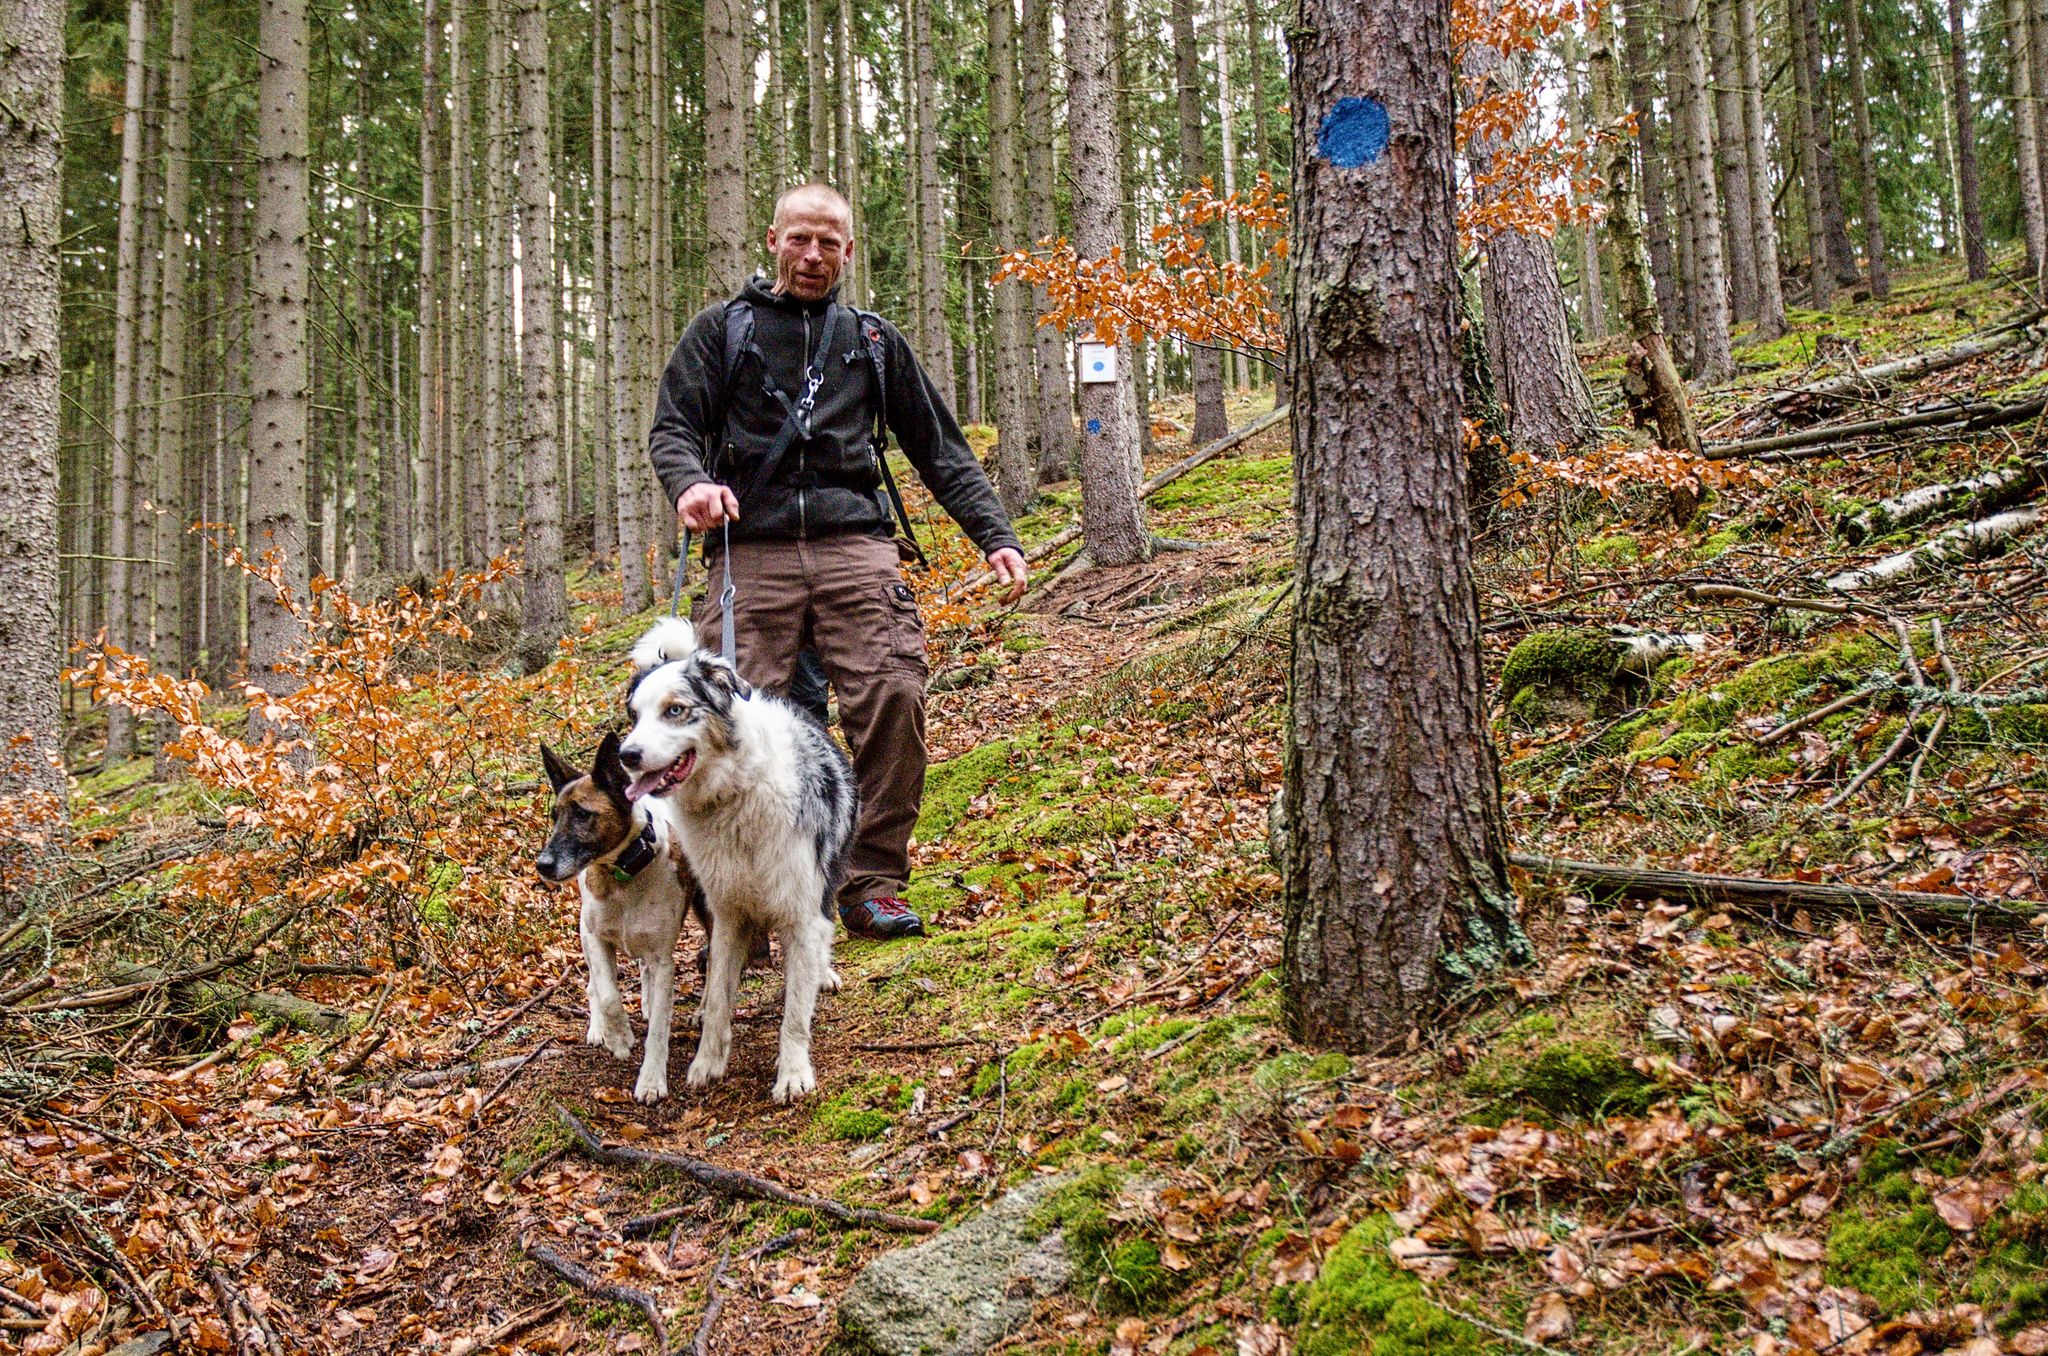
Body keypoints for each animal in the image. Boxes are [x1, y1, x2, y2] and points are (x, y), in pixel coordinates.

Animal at [536, 732, 704, 1104]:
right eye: (554, 816)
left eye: (583, 814)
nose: (542, 864)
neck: (622, 874)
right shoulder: (595, 937)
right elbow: (609, 995)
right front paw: (619, 1037)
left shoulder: (663, 960)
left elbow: (659, 1027)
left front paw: (652, 1079)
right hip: (585, 933)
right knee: (594, 985)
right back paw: (601, 1027)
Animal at [619, 617, 857, 1103]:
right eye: (634, 716)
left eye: (675, 710)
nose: (626, 755)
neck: (734, 794)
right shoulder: (727, 910)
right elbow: (718, 995)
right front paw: (707, 1063)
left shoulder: (801, 906)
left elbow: (794, 1013)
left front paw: (792, 1073)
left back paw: (822, 974)